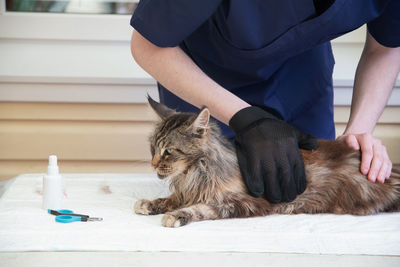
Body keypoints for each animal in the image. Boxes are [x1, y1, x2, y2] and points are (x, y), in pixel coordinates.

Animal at [134, 96, 400, 228]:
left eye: (169, 151)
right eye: (153, 148)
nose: (153, 164)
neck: (195, 173)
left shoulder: (244, 202)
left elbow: (201, 208)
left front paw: (176, 215)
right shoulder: (188, 190)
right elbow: (172, 198)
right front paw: (150, 204)